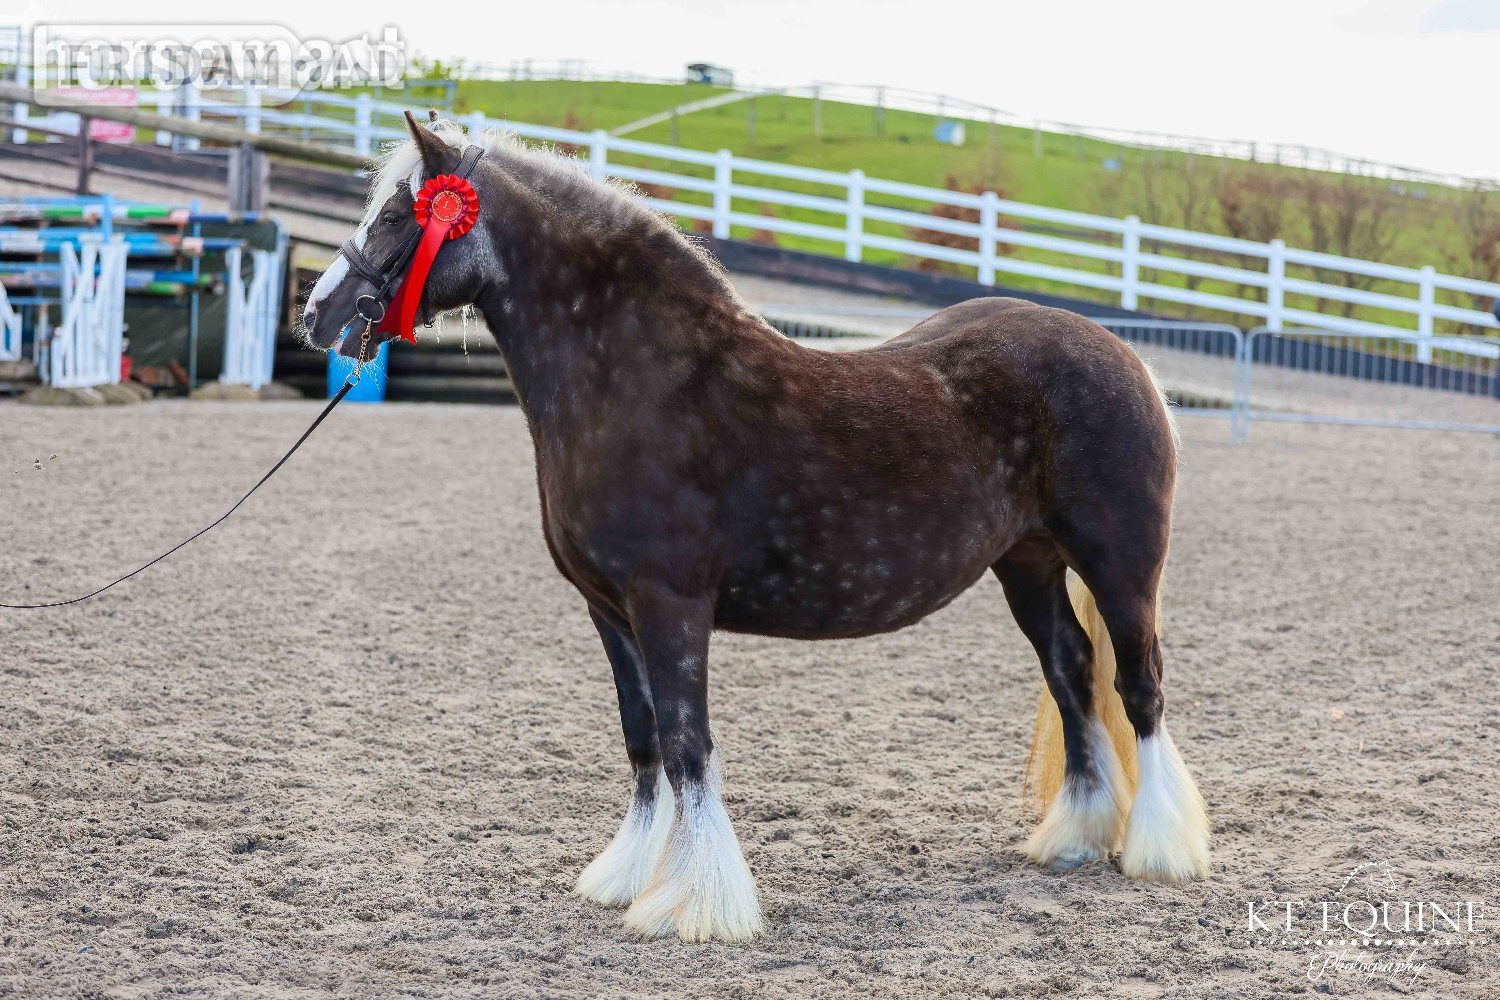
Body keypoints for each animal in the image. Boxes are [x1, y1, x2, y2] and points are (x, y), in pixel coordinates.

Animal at [301, 112, 1210, 943]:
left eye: (399, 215)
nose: (318, 313)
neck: (638, 379)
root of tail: (1129, 360)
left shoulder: (670, 605)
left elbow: (687, 744)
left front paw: (698, 905)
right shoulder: (609, 610)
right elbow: (643, 740)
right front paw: (627, 875)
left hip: (1122, 566)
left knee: (1139, 688)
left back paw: (1159, 849)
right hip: (1028, 565)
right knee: (1071, 671)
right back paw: (1076, 837)